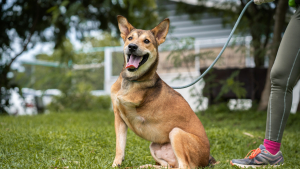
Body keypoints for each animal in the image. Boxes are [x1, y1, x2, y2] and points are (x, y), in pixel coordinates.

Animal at [111, 15, 214, 168]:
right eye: (130, 38)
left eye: (146, 41)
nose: (132, 46)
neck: (132, 80)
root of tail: (207, 159)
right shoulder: (119, 116)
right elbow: (120, 145)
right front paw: (116, 163)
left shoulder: (133, 114)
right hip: (155, 146)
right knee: (168, 166)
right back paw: (146, 166)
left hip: (176, 133)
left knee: (184, 166)